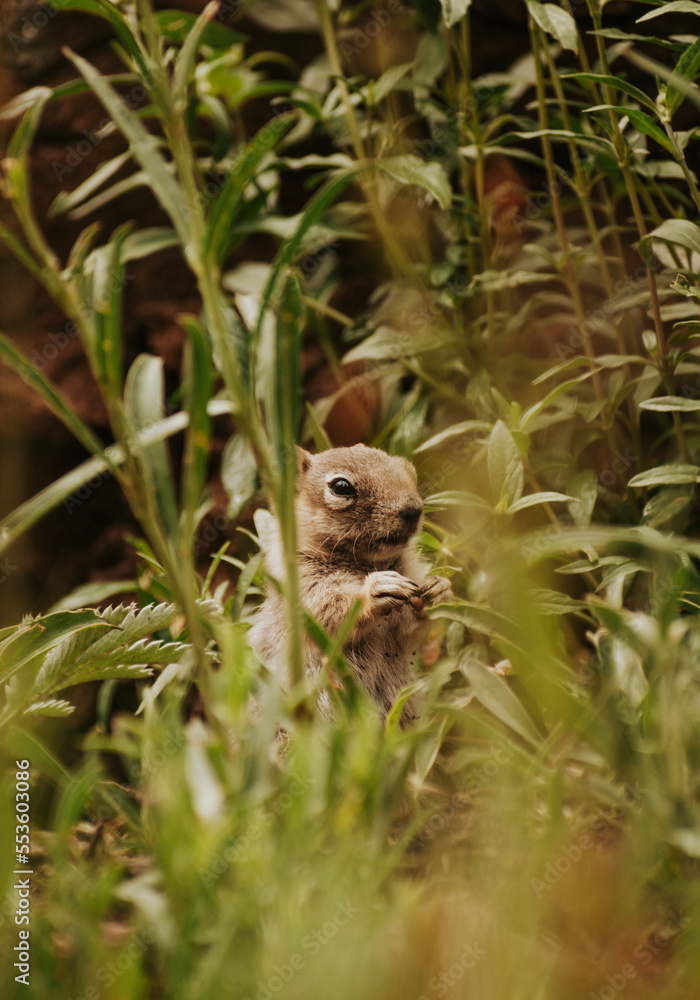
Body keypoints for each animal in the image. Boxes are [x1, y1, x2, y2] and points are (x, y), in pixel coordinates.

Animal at [248, 444, 452, 722]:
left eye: (409, 470)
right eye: (341, 487)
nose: (413, 510)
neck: (365, 564)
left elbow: (406, 632)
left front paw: (438, 590)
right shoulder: (301, 584)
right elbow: (328, 612)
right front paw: (373, 593)